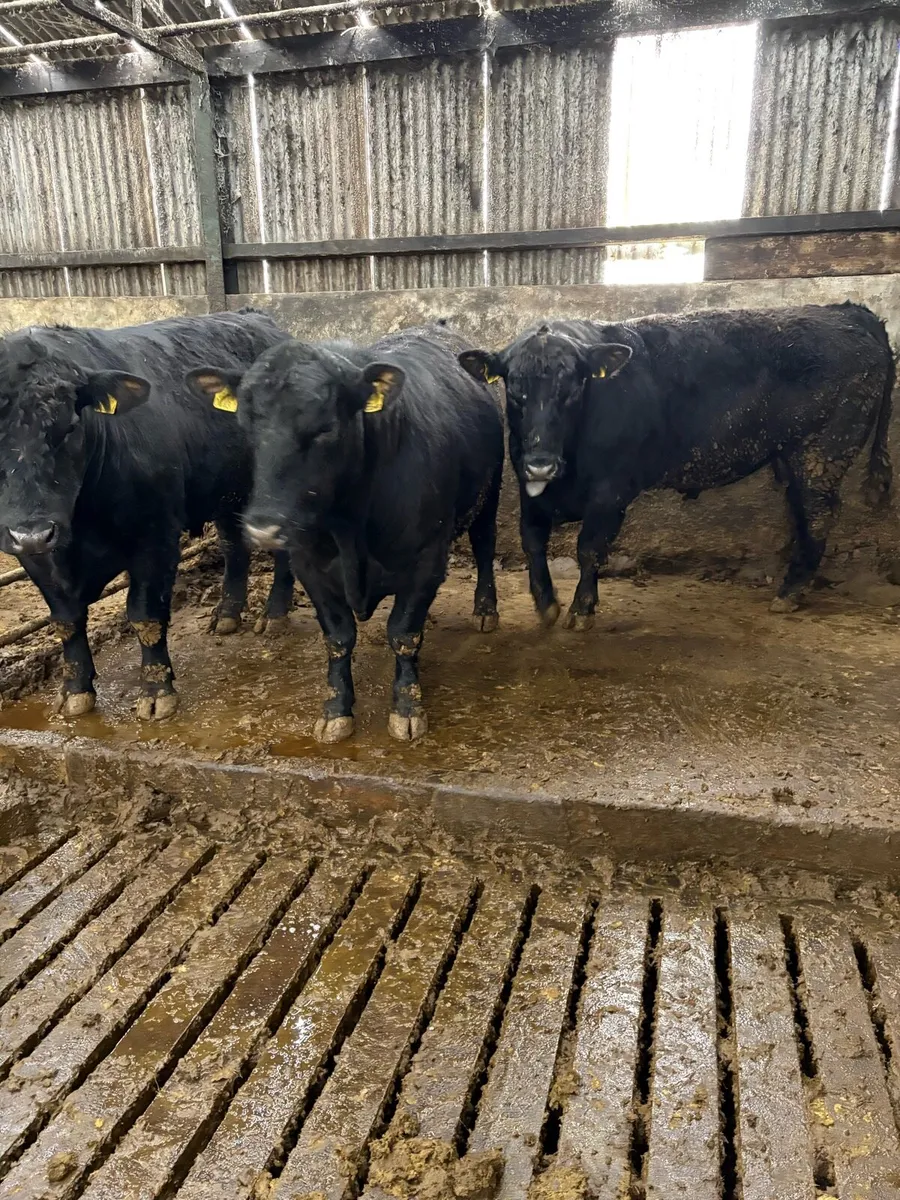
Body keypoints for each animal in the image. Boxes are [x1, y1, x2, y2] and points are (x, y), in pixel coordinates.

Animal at [0, 310, 294, 720]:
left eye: (70, 426)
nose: (33, 532)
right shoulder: (34, 553)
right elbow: (65, 620)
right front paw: (74, 691)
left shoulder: (155, 537)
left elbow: (145, 615)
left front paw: (157, 693)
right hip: (227, 491)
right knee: (234, 547)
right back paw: (226, 614)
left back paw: (275, 615)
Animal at [187, 322, 505, 743]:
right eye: (245, 425)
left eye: (326, 428)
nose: (263, 526)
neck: (350, 526)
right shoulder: (311, 567)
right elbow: (338, 639)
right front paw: (336, 710)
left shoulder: (427, 560)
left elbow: (404, 633)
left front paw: (407, 709)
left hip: (489, 494)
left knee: (484, 546)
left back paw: (485, 610)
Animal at [458, 303, 894, 628]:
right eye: (514, 388)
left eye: (574, 387)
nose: (542, 464)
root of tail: (847, 312)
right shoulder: (529, 486)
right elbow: (532, 542)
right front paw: (547, 603)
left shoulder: (611, 492)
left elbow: (589, 549)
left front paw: (582, 610)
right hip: (793, 456)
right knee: (801, 513)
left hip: (822, 451)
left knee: (819, 515)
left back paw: (790, 591)